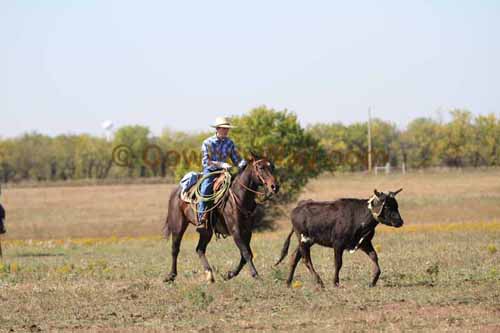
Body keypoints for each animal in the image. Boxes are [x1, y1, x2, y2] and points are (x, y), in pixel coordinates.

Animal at [163, 154, 278, 282]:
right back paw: (171, 276)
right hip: (178, 226)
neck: (239, 197)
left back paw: (209, 274)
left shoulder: (247, 232)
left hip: (206, 231)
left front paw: (230, 274)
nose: (274, 187)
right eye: (261, 167)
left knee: (200, 249)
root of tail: (176, 191)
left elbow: (245, 255)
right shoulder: (235, 231)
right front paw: (255, 275)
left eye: (272, 167)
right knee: (175, 249)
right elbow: (246, 253)